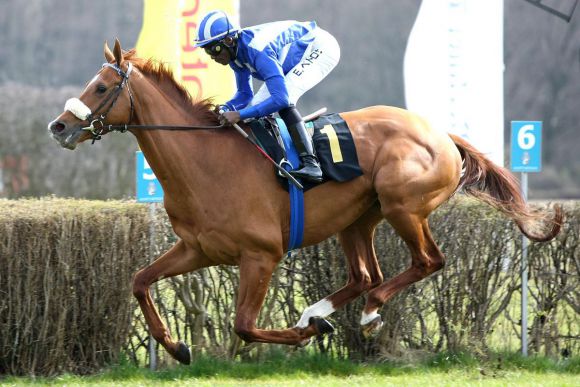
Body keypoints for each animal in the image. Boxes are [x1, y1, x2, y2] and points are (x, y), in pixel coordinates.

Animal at [47, 38, 560, 366]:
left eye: (100, 87)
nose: (59, 126)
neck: (204, 162)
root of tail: (442, 134)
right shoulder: (197, 249)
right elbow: (139, 281)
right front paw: (175, 347)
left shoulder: (261, 254)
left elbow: (243, 325)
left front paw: (306, 334)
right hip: (358, 220)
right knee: (365, 274)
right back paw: (319, 311)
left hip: (403, 207)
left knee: (427, 261)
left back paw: (363, 313)